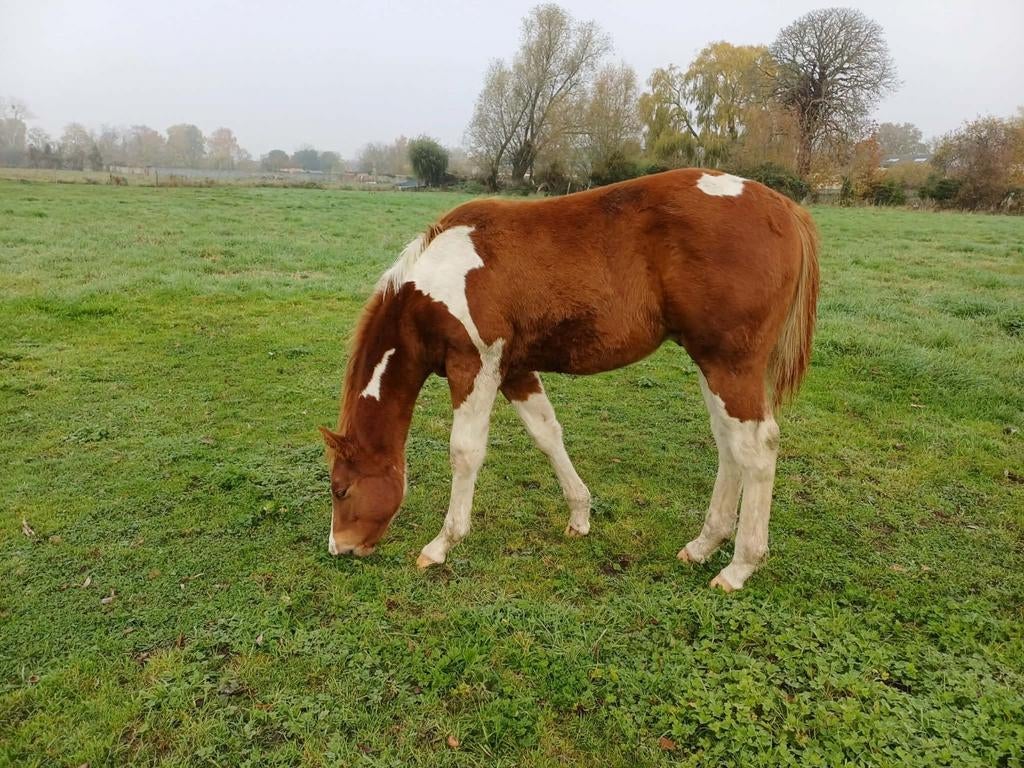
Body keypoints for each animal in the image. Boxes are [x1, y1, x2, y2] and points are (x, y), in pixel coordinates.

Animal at [319, 168, 819, 591]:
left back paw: (739, 567)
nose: (340, 548)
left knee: (757, 447)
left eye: (340, 489)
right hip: (712, 365)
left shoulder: (474, 366)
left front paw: (442, 545)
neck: (434, 286)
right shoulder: (514, 370)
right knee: (730, 444)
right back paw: (702, 546)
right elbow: (547, 434)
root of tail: (784, 209)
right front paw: (580, 515)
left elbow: (464, 453)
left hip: (730, 365)